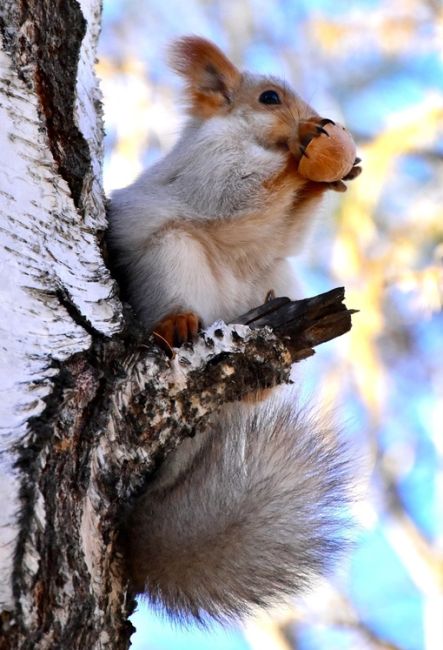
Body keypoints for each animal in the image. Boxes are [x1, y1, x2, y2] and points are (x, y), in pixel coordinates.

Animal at [106, 35, 360, 624]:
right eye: (269, 98)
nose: (316, 120)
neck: (251, 138)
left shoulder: (281, 238)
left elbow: (288, 226)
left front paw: (334, 175)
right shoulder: (205, 165)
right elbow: (233, 192)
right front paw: (298, 161)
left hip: (274, 280)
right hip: (173, 257)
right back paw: (176, 322)